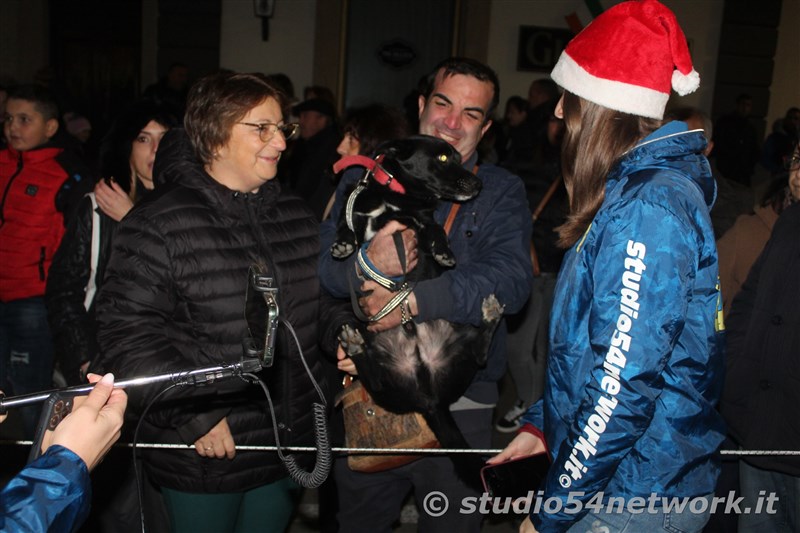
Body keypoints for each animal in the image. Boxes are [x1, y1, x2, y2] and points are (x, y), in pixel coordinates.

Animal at [334, 136, 504, 486]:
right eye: (443, 157)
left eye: (458, 157)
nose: (477, 184)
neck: (395, 194)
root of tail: (430, 398)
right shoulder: (357, 212)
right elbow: (347, 226)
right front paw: (343, 243)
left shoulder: (420, 226)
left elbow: (434, 230)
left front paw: (443, 251)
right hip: (382, 369)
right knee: (375, 380)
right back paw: (354, 344)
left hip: (459, 335)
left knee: (480, 354)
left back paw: (491, 314)